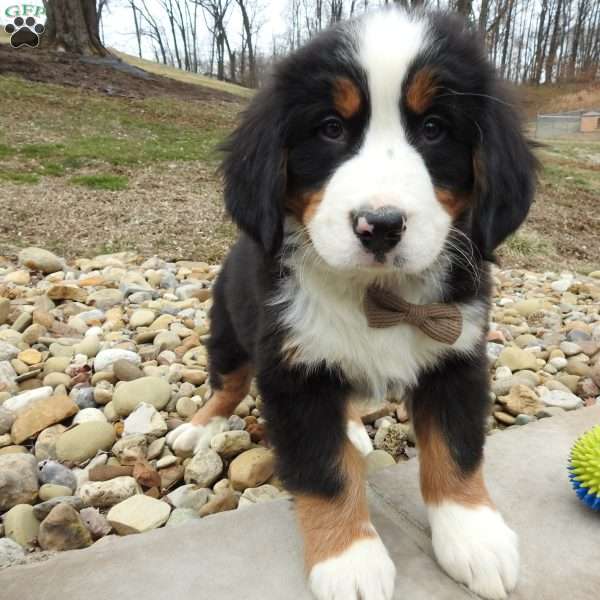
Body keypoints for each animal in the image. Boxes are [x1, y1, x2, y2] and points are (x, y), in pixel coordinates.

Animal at [168, 5, 540, 600]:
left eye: (433, 129)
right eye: (331, 128)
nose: (380, 226)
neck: (378, 294)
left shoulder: (458, 353)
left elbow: (456, 450)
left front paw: (474, 536)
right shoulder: (292, 370)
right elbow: (323, 470)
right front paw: (350, 559)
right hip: (228, 326)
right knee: (227, 382)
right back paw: (199, 425)